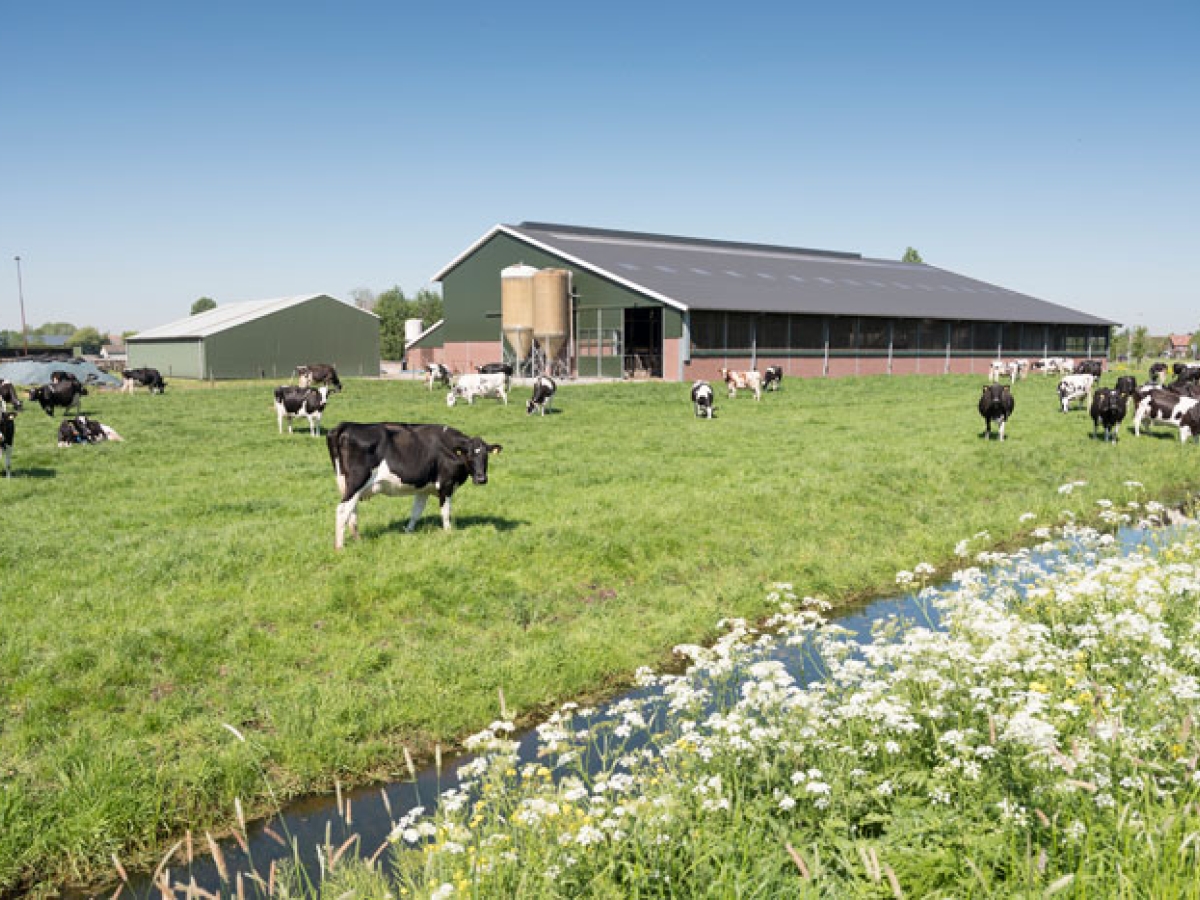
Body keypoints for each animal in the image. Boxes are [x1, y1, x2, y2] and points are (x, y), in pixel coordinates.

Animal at [324, 422, 501, 549]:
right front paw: (449, 532)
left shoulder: (423, 488)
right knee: (342, 510)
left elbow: (416, 512)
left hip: (349, 485)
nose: (481, 479)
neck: (448, 446)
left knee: (351, 511)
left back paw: (358, 539)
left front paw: (408, 531)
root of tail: (348, 425)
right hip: (357, 481)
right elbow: (445, 512)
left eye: (486, 456)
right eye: (469, 455)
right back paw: (339, 546)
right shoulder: (446, 484)